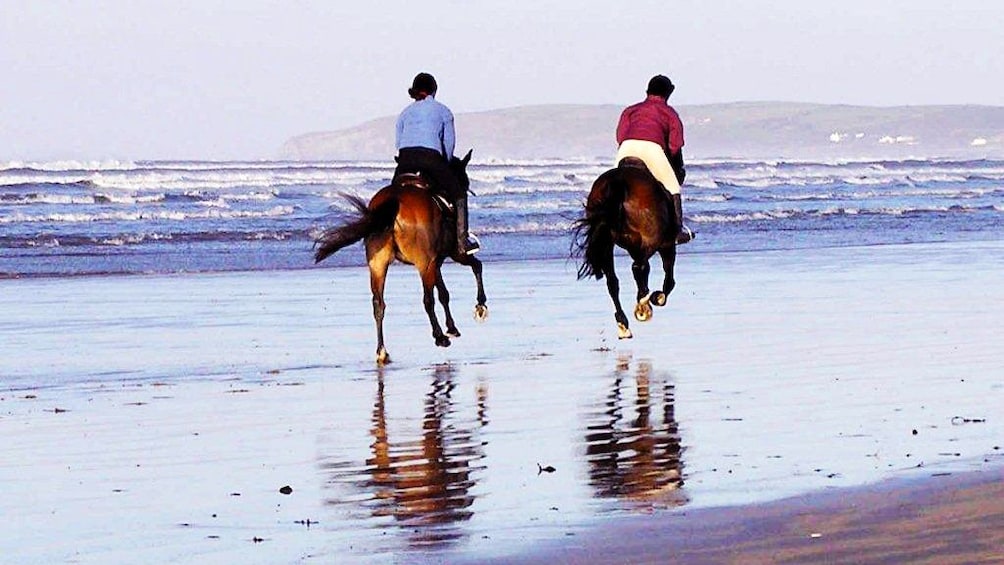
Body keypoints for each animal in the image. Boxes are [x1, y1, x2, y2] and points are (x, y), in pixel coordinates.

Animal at [313, 150, 485, 365]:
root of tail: (394, 201)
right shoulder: (449, 256)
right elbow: (475, 267)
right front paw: (480, 306)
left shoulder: (435, 263)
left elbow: (444, 293)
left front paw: (452, 327)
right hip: (424, 263)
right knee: (427, 300)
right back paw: (439, 337)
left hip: (378, 264)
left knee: (378, 304)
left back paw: (382, 351)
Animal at [574, 156, 682, 339]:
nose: (681, 171)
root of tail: (617, 182)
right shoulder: (666, 244)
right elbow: (669, 279)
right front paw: (657, 297)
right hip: (650, 240)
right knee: (639, 267)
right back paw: (643, 304)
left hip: (607, 242)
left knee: (613, 282)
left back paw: (623, 324)